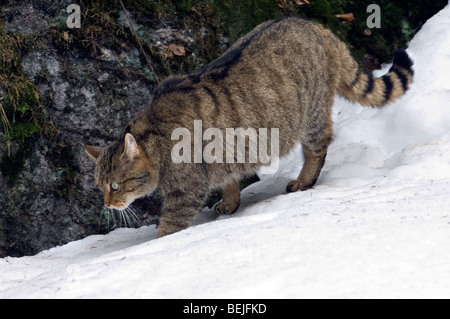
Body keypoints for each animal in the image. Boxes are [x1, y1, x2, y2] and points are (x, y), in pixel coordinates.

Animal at [86, 16, 414, 238]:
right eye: (100, 187)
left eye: (115, 186)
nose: (107, 204)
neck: (155, 137)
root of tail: (313, 25)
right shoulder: (221, 158)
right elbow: (228, 181)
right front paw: (230, 202)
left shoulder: (186, 192)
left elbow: (169, 227)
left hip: (312, 116)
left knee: (318, 148)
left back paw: (304, 180)